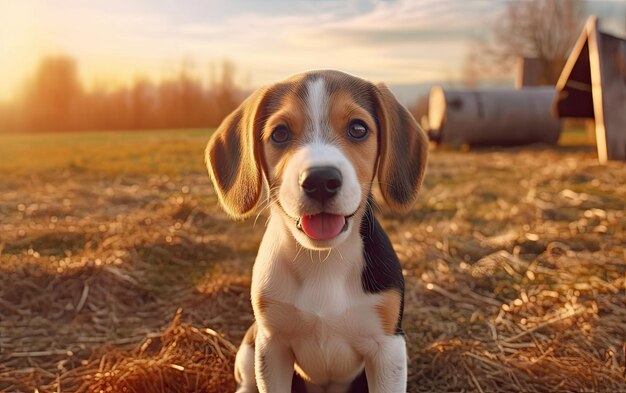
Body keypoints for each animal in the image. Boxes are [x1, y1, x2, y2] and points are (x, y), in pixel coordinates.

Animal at [207, 70, 426, 392]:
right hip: (252, 341)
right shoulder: (272, 345)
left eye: (358, 129)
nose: (320, 180)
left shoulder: (388, 348)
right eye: (280, 133)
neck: (323, 259)